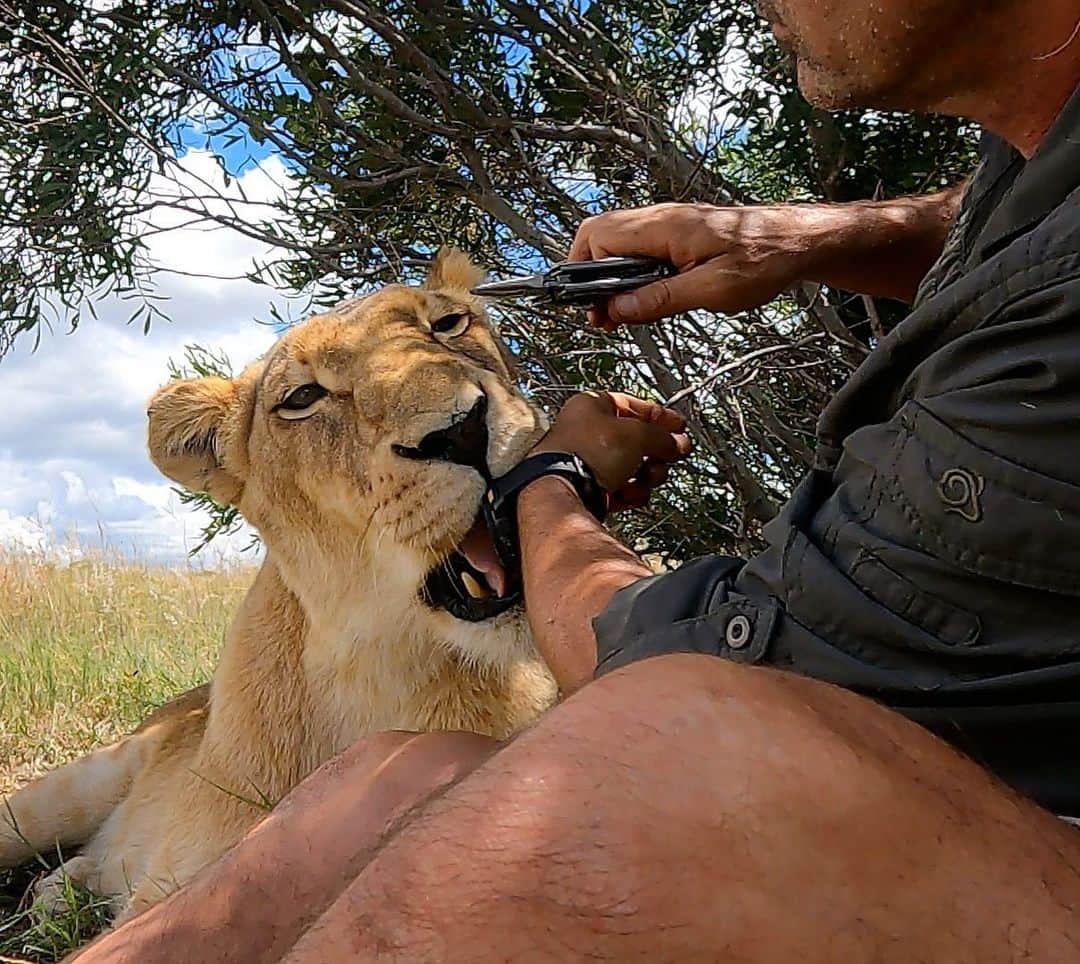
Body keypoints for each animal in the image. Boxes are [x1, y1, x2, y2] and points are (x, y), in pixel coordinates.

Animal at [0, 249, 557, 923]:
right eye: (302, 397)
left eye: (449, 324)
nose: (462, 429)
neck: (381, 672)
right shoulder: (172, 893)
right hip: (69, 787)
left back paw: (60, 890)